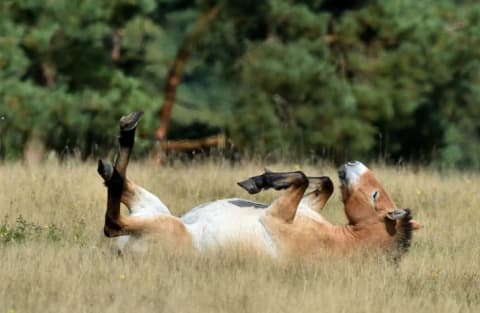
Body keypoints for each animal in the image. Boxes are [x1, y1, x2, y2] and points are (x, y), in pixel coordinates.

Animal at [97, 112, 420, 258]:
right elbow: (323, 182)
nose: (353, 164)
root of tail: (122, 255)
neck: (340, 241)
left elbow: (302, 177)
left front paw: (258, 182)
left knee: (113, 222)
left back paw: (126, 133)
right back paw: (112, 162)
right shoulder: (305, 206)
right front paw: (262, 180)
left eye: (375, 195)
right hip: (155, 208)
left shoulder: (277, 216)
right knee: (122, 187)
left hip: (162, 224)